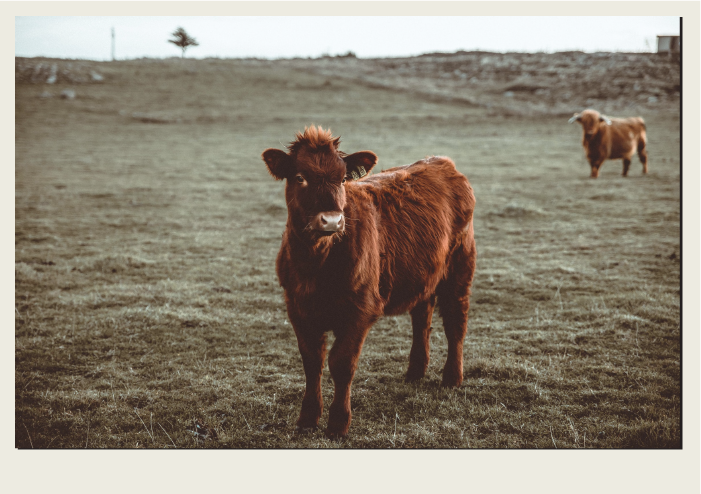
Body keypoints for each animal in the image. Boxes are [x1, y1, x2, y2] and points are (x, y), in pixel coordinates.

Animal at [261, 126, 476, 438]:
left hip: (460, 266)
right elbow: (312, 362)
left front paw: (338, 423)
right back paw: (415, 370)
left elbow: (341, 363)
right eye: (300, 177)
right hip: (423, 272)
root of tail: (441, 162)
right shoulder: (297, 308)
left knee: (455, 320)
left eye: (342, 178)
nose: (331, 221)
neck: (316, 265)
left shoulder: (360, 309)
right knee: (422, 317)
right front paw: (307, 419)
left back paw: (452, 377)